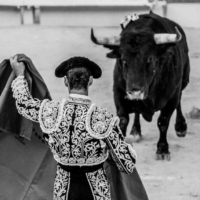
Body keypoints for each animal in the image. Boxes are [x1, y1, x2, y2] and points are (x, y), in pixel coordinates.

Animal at [91, 12, 190, 160]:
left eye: (150, 58)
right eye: (123, 59)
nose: (135, 91)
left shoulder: (172, 96)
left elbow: (163, 122)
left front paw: (162, 149)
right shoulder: (119, 94)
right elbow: (123, 120)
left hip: (184, 81)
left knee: (179, 101)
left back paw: (181, 126)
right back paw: (135, 130)